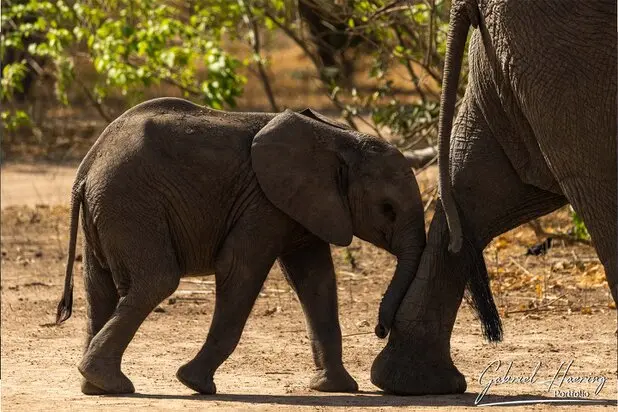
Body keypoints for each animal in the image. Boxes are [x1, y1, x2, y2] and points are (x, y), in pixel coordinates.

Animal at [56, 97, 424, 396]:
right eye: (388, 209)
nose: (380, 329)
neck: (341, 139)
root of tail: (87, 166)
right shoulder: (263, 202)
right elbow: (239, 268)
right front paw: (194, 384)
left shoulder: (307, 205)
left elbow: (315, 280)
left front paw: (336, 388)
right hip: (132, 205)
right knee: (156, 282)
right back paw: (111, 383)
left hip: (108, 209)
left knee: (98, 287)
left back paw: (96, 387)